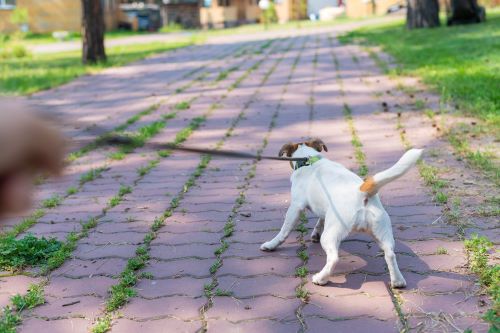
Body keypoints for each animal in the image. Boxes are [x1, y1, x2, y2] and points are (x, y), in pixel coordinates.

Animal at [262, 139, 422, 286]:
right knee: (390, 254)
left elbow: (283, 231)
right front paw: (315, 233)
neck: (309, 159)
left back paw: (320, 278)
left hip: (331, 234)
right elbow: (321, 220)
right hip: (383, 232)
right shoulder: (324, 210)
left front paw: (271, 244)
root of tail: (361, 193)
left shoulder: (295, 207)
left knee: (334, 258)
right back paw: (398, 281)